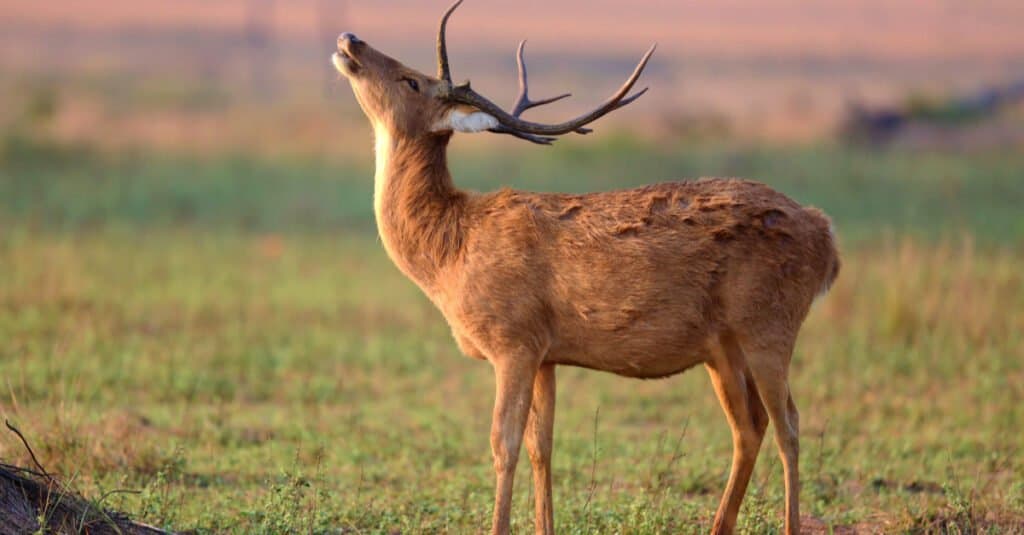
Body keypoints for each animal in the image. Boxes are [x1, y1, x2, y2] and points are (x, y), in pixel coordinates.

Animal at [331, 2, 835, 528]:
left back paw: (790, 524)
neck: (449, 252)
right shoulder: (546, 352)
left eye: (411, 80)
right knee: (749, 425)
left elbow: (503, 445)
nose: (351, 38)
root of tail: (826, 237)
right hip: (722, 348)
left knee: (789, 424)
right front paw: (544, 526)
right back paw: (720, 526)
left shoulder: (512, 340)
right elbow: (542, 447)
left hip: (769, 325)